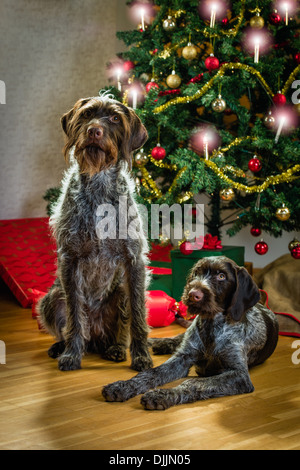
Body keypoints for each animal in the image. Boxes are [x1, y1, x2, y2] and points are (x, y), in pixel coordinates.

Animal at [37, 93, 154, 372]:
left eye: (115, 118)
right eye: (87, 114)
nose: (94, 131)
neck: (98, 183)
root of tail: (97, 339)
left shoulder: (134, 261)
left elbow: (137, 315)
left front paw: (141, 356)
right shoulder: (70, 260)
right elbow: (74, 316)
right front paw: (71, 354)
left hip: (120, 289)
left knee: (121, 328)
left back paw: (117, 348)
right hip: (51, 298)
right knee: (70, 322)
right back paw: (61, 346)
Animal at [103, 255, 278, 410]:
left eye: (221, 276)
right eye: (196, 273)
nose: (193, 294)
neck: (211, 326)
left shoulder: (239, 375)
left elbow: (194, 383)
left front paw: (162, 395)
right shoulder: (182, 358)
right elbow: (151, 373)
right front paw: (123, 386)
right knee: (176, 339)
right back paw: (157, 343)